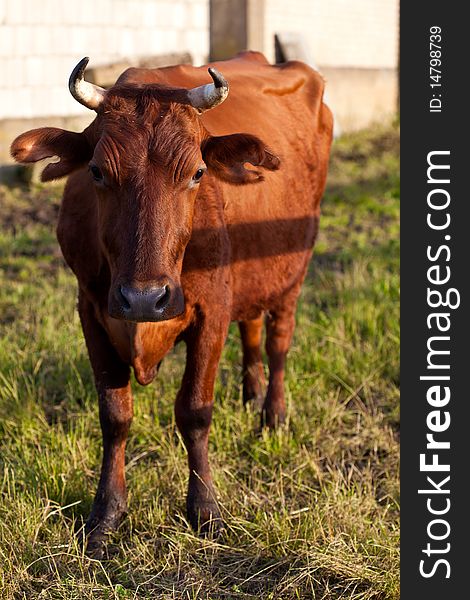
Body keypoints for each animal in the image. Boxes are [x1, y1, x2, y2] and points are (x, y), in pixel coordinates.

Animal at [11, 52, 334, 556]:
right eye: (97, 171)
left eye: (197, 172)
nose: (144, 298)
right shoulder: (91, 310)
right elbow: (115, 415)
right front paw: (106, 514)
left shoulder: (212, 309)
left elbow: (195, 411)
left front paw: (204, 509)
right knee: (253, 330)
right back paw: (250, 394)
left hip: (293, 266)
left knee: (278, 339)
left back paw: (273, 414)